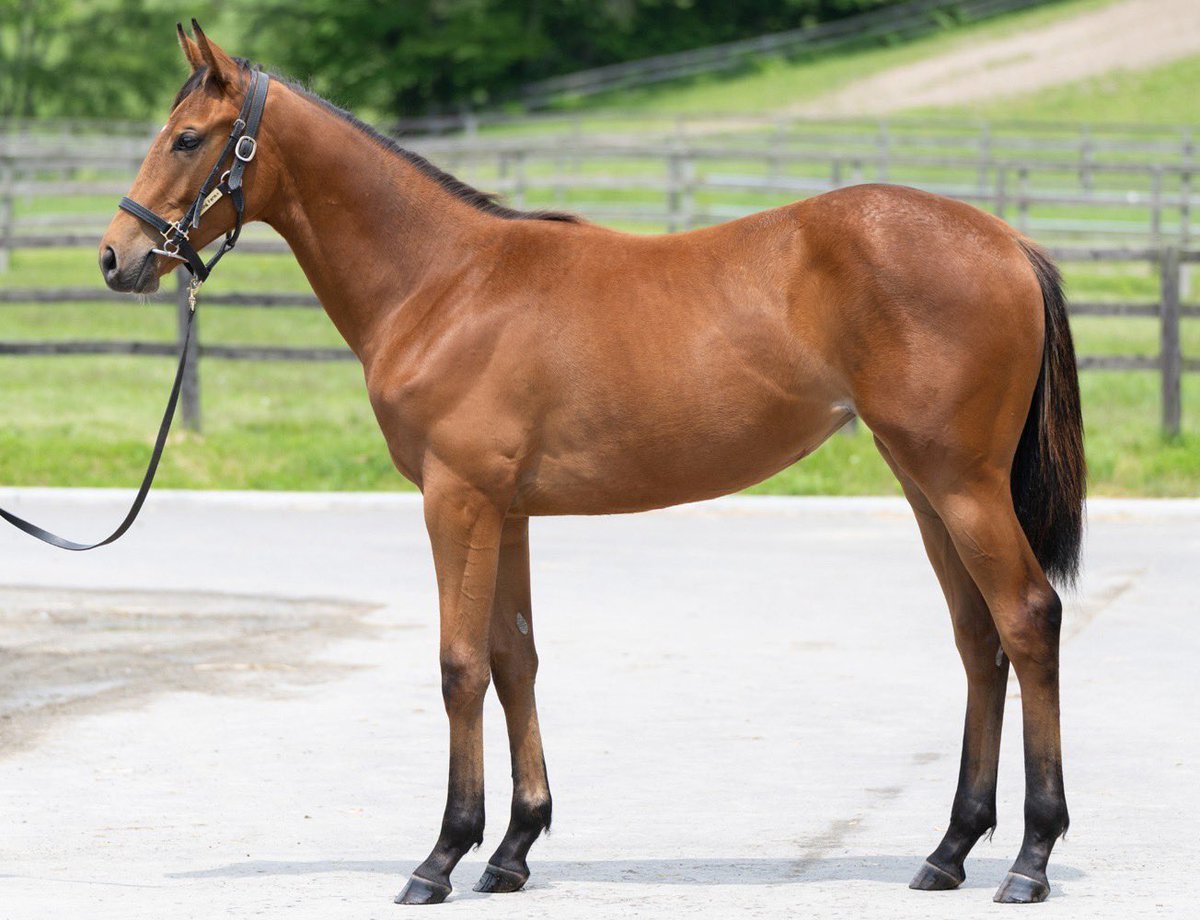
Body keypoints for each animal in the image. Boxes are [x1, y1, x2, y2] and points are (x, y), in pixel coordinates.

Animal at [99, 22, 1085, 906]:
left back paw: (1030, 857)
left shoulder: (456, 501)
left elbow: (460, 665)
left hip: (960, 485)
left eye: (187, 138)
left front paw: (441, 856)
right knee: (978, 638)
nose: (118, 256)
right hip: (924, 487)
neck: (444, 282)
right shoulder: (506, 511)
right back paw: (950, 850)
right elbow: (515, 658)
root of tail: (1008, 241)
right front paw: (512, 849)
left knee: (1027, 619)